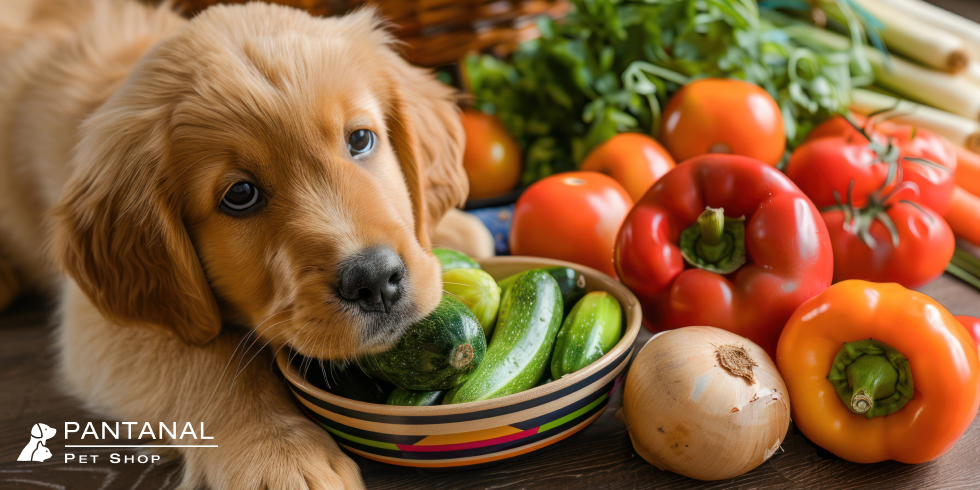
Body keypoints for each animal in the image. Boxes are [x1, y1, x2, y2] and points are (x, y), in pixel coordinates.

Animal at [0, 1, 470, 488]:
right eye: (240, 195)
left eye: (360, 139)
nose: (375, 280)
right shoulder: (97, 322)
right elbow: (211, 363)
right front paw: (281, 456)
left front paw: (455, 229)